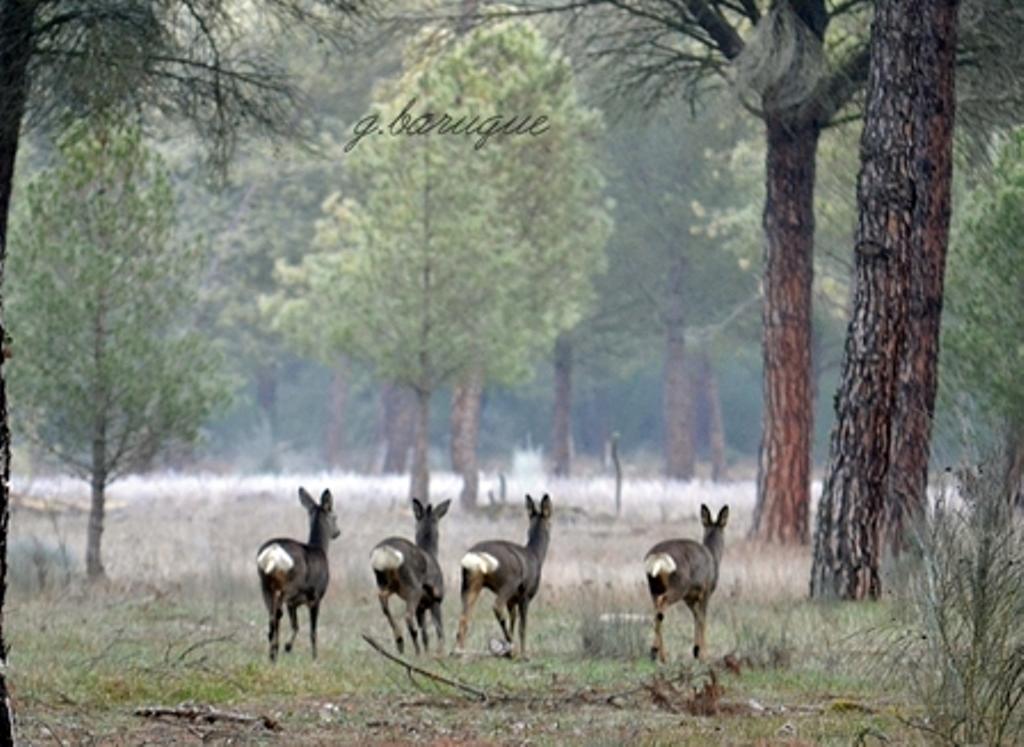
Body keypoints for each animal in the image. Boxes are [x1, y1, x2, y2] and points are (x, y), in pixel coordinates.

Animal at [256, 485, 339, 659]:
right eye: (335, 517)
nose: (337, 532)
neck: (320, 549)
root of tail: (273, 552)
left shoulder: (294, 602)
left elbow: (296, 625)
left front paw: (288, 647)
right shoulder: (315, 597)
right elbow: (312, 632)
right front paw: (314, 657)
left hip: (264, 584)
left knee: (272, 616)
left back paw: (272, 653)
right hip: (289, 585)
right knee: (277, 613)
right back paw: (275, 650)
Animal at [368, 498, 448, 655]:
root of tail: (385, 552)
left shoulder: (421, 607)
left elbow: (426, 635)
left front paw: (429, 652)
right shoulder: (436, 598)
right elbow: (439, 630)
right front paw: (440, 653)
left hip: (385, 582)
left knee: (383, 602)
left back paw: (400, 642)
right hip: (412, 587)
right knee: (407, 616)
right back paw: (415, 651)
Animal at [456, 491, 552, 655]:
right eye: (550, 522)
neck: (535, 555)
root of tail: (476, 556)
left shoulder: (512, 600)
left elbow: (513, 621)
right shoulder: (525, 594)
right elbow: (522, 627)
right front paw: (524, 654)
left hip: (469, 583)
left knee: (464, 616)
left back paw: (459, 651)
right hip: (508, 582)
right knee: (496, 606)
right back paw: (512, 649)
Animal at [647, 504, 729, 659]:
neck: (713, 556)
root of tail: (658, 557)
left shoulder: (689, 598)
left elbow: (696, 617)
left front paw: (696, 650)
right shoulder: (706, 590)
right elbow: (703, 619)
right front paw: (704, 654)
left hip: (654, 588)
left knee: (656, 612)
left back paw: (657, 654)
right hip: (679, 585)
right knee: (662, 606)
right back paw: (660, 654)